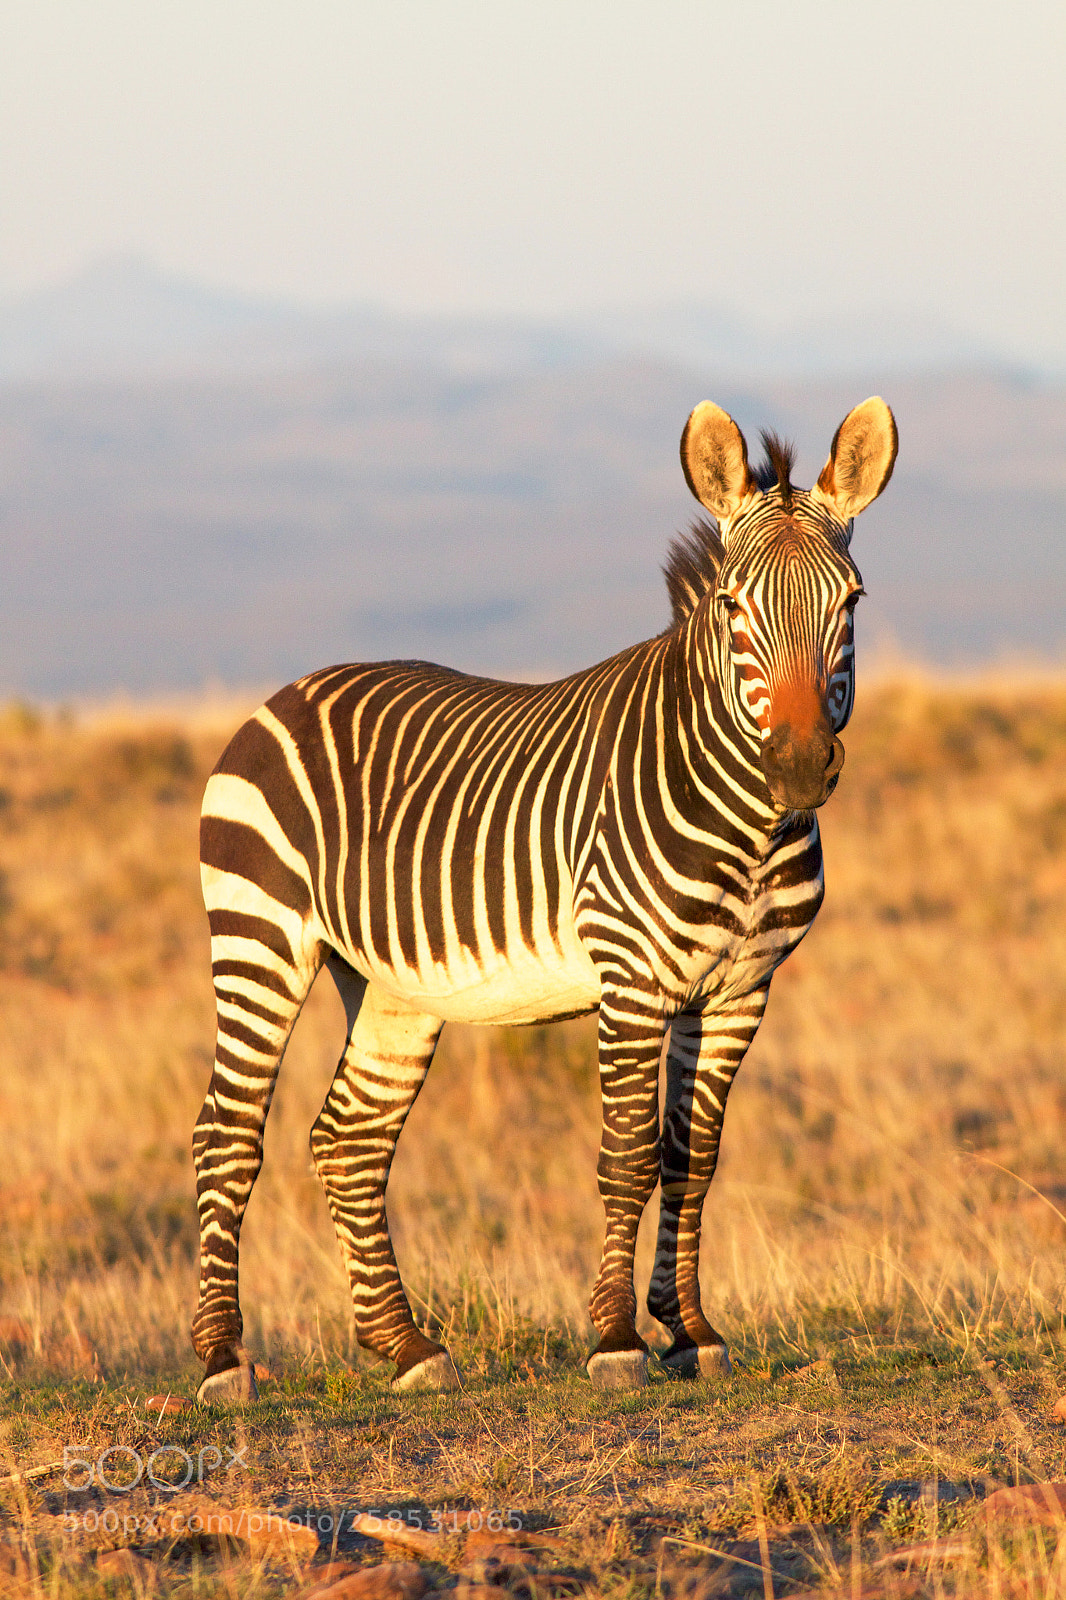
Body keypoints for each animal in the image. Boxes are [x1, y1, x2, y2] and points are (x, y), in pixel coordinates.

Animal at [191, 396, 897, 1403]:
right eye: (733, 607)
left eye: (851, 603)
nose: (799, 766)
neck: (750, 829)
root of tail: (284, 694)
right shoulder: (632, 981)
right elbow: (628, 1155)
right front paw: (615, 1340)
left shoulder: (738, 993)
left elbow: (693, 1158)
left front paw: (690, 1330)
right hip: (260, 939)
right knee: (226, 1135)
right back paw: (221, 1360)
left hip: (393, 985)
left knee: (349, 1141)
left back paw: (404, 1347)